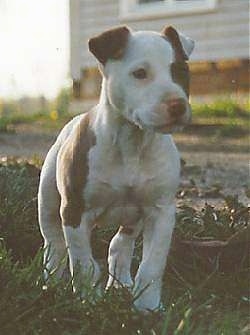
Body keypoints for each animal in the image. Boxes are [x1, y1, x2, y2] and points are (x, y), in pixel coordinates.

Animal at [38, 25, 194, 312]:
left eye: (180, 71)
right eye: (140, 73)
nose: (177, 105)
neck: (132, 141)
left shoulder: (161, 212)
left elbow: (153, 264)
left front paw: (148, 308)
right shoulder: (75, 210)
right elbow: (82, 262)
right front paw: (88, 301)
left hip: (133, 218)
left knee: (119, 244)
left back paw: (121, 284)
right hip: (49, 202)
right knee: (54, 244)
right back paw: (50, 283)